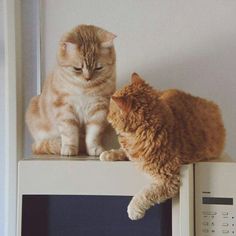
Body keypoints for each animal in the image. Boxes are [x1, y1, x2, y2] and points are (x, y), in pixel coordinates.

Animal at [25, 24, 116, 156]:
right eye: (77, 68)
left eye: (98, 68)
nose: (88, 78)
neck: (85, 88)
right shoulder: (64, 109)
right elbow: (69, 133)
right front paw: (69, 149)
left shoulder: (99, 110)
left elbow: (93, 134)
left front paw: (94, 148)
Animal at [100, 73, 226, 219]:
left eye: (111, 110)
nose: (106, 116)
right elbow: (123, 152)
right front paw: (109, 154)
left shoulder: (168, 180)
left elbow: (145, 194)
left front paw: (133, 210)